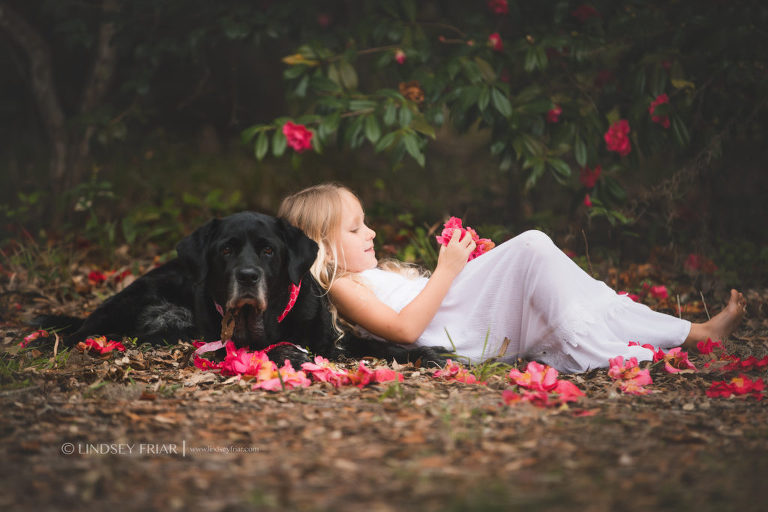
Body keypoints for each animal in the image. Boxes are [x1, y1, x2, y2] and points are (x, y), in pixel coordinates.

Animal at [39, 212, 448, 368]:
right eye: (226, 250)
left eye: (268, 250)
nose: (249, 276)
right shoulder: (219, 342)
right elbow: (264, 347)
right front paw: (288, 352)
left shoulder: (334, 341)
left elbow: (379, 344)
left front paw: (426, 353)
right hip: (133, 305)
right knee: (81, 330)